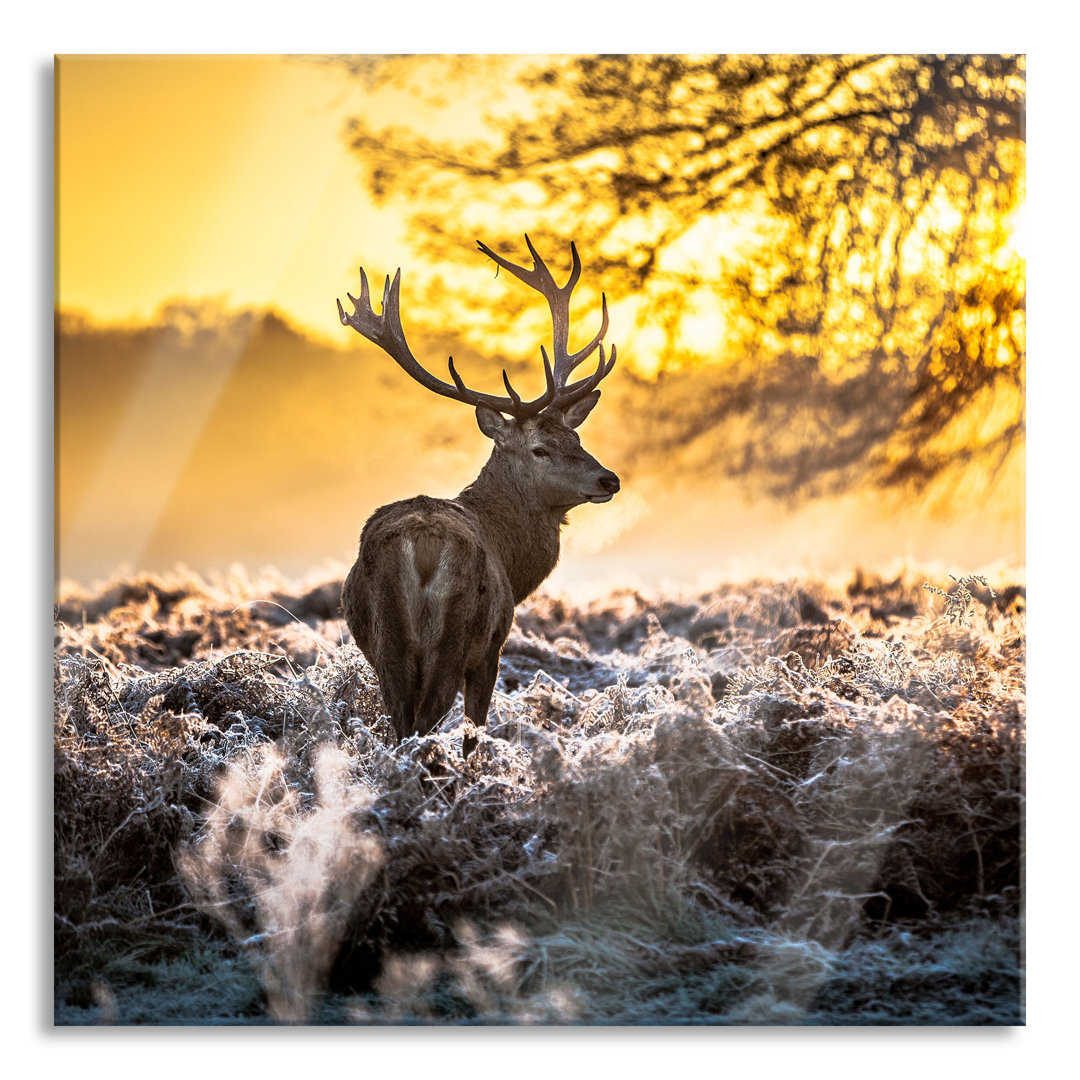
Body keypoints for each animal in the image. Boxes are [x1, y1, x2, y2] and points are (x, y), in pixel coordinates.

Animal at [336, 236, 626, 760]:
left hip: (387, 640)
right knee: (427, 723)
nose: (608, 480)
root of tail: (421, 546)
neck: (512, 558)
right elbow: (476, 729)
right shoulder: (493, 647)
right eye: (540, 448)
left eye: (576, 438)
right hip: (457, 634)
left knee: (402, 725)